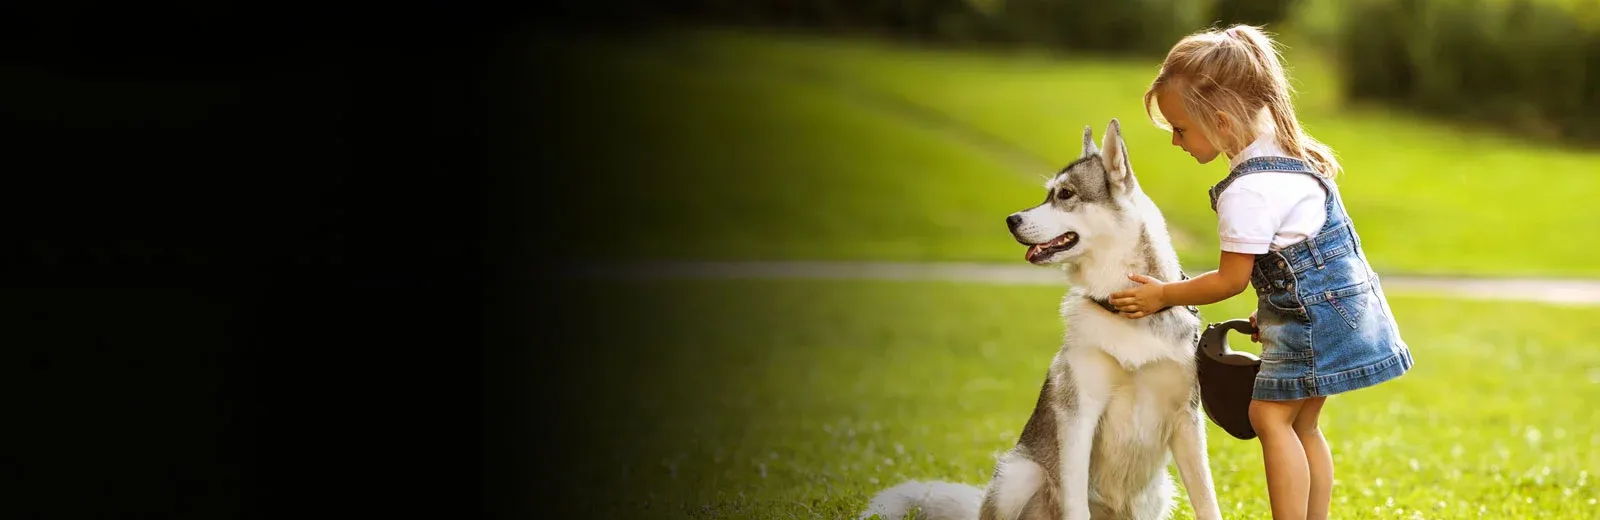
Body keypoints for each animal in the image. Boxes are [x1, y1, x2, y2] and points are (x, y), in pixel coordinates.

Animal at [864, 119, 1222, 515]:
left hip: (1158, 492)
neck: (1124, 310)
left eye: (1065, 194)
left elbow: (1207, 499)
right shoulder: (1079, 414)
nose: (1010, 220)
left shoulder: (1187, 420)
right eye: (1049, 193)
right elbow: (1076, 503)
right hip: (1020, 475)